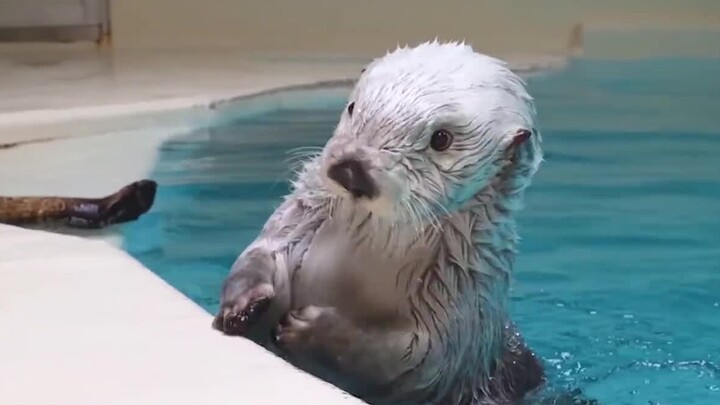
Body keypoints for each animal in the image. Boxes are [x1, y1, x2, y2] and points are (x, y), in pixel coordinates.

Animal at [213, 41, 548, 404]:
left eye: (441, 139)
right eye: (352, 107)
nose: (351, 167)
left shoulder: (465, 292)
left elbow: (411, 357)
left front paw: (311, 329)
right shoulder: (305, 213)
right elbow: (266, 250)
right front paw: (243, 303)